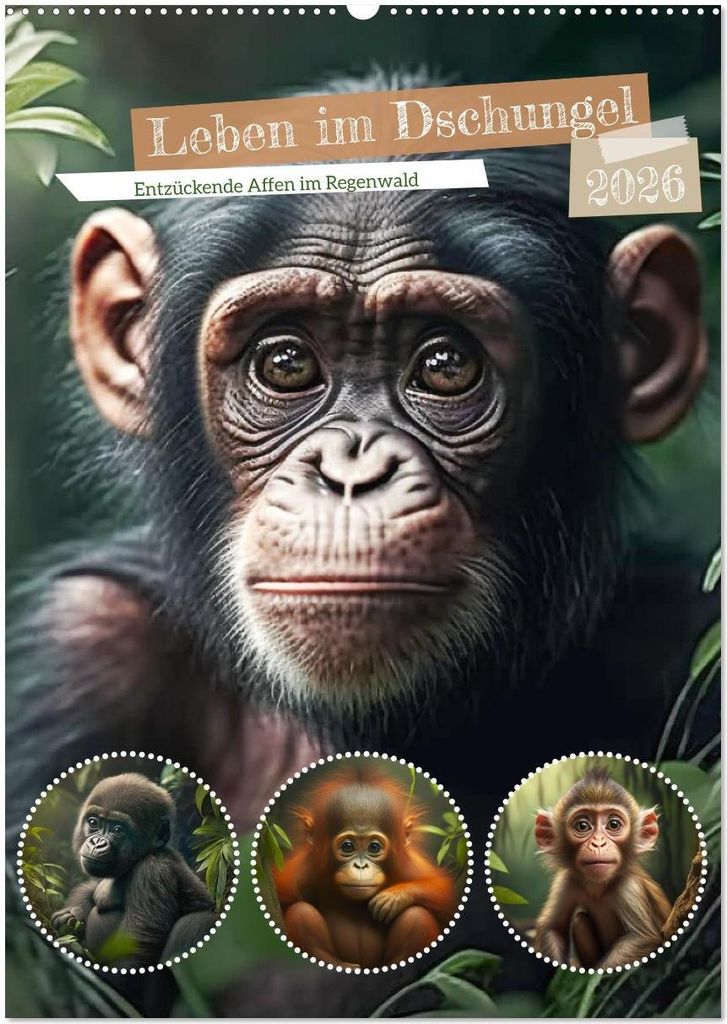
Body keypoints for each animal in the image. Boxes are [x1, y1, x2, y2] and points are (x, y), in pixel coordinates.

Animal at [51, 773, 217, 968]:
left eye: (117, 830)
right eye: (93, 823)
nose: (97, 843)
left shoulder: (152, 871)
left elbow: (133, 952)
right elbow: (88, 890)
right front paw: (69, 917)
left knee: (194, 923)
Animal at [273, 767, 457, 968]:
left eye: (374, 847)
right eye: (347, 846)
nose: (360, 866)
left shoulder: (411, 866)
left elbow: (446, 894)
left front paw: (395, 896)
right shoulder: (301, 872)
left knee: (417, 916)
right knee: (301, 913)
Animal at [533, 768, 673, 970]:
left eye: (613, 824)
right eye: (582, 826)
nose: (598, 843)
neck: (599, 887)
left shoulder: (629, 887)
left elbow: (643, 938)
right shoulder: (567, 881)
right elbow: (553, 928)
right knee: (579, 919)